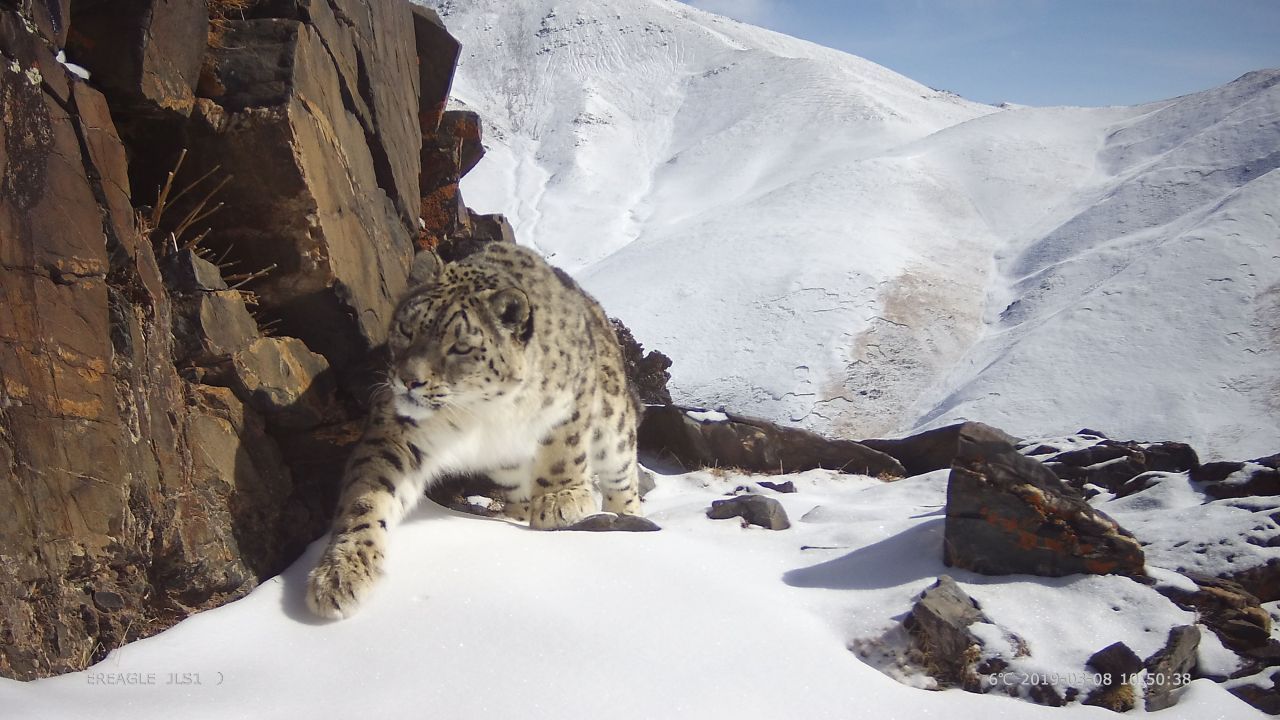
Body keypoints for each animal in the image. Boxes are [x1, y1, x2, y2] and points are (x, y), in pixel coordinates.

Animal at [305, 240, 645, 617]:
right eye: (407, 329)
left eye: (461, 347)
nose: (409, 380)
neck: (485, 413)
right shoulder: (398, 432)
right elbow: (368, 496)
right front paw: (342, 571)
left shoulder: (571, 404)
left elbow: (563, 452)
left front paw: (560, 500)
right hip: (507, 467)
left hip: (614, 427)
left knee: (622, 478)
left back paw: (625, 515)